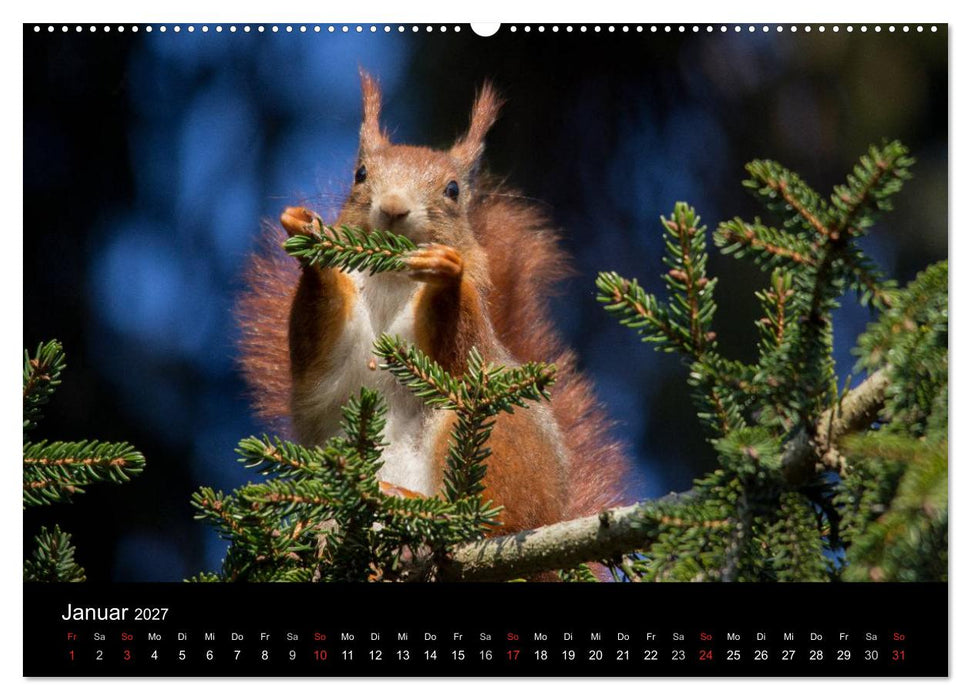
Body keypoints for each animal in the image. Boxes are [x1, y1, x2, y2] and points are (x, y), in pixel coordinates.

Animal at [236, 73, 628, 535]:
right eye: (360, 174)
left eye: (453, 190)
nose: (393, 206)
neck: (391, 279)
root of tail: (554, 513)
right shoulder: (334, 359)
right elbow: (318, 342)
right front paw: (308, 236)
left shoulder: (472, 339)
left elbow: (458, 349)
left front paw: (446, 271)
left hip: (494, 431)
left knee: (491, 518)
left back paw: (418, 506)